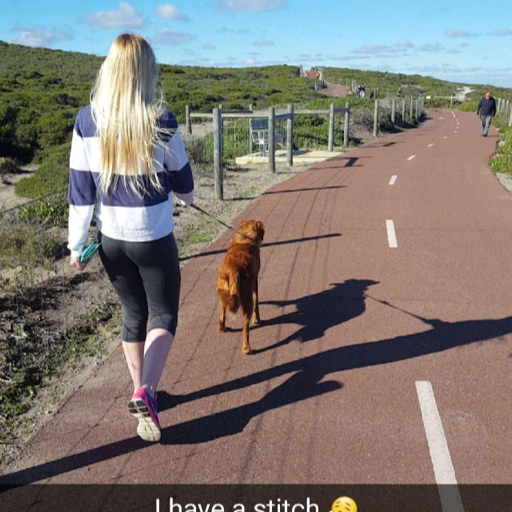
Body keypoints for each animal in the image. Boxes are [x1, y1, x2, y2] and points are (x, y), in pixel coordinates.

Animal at [215, 218, 266, 354]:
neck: (245, 237)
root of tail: (233, 270)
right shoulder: (255, 281)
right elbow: (256, 300)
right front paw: (257, 319)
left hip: (222, 293)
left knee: (222, 314)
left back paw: (223, 328)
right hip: (246, 300)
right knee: (245, 328)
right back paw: (246, 348)